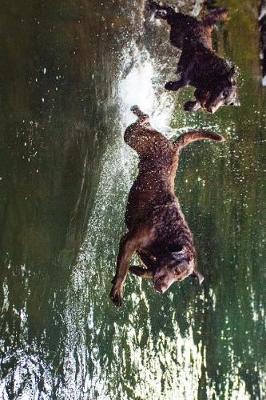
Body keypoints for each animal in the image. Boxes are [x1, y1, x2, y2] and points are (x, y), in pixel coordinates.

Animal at [109, 106, 223, 306]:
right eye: (176, 271)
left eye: (179, 279)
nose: (162, 290)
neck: (167, 234)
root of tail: (173, 147)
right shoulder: (130, 241)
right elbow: (122, 270)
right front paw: (117, 290)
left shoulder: (144, 251)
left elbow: (149, 268)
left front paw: (138, 271)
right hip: (134, 137)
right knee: (142, 121)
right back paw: (138, 111)